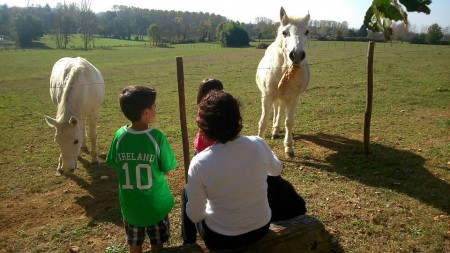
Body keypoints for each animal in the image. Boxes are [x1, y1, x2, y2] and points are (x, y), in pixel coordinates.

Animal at [256, 6, 310, 157]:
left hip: (284, 98)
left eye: (307, 32)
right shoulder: (267, 96)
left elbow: (289, 122)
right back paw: (274, 131)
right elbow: (263, 121)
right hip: (275, 97)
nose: (297, 55)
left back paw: (276, 130)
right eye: (284, 32)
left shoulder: (294, 97)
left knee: (280, 110)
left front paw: (289, 147)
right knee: (276, 109)